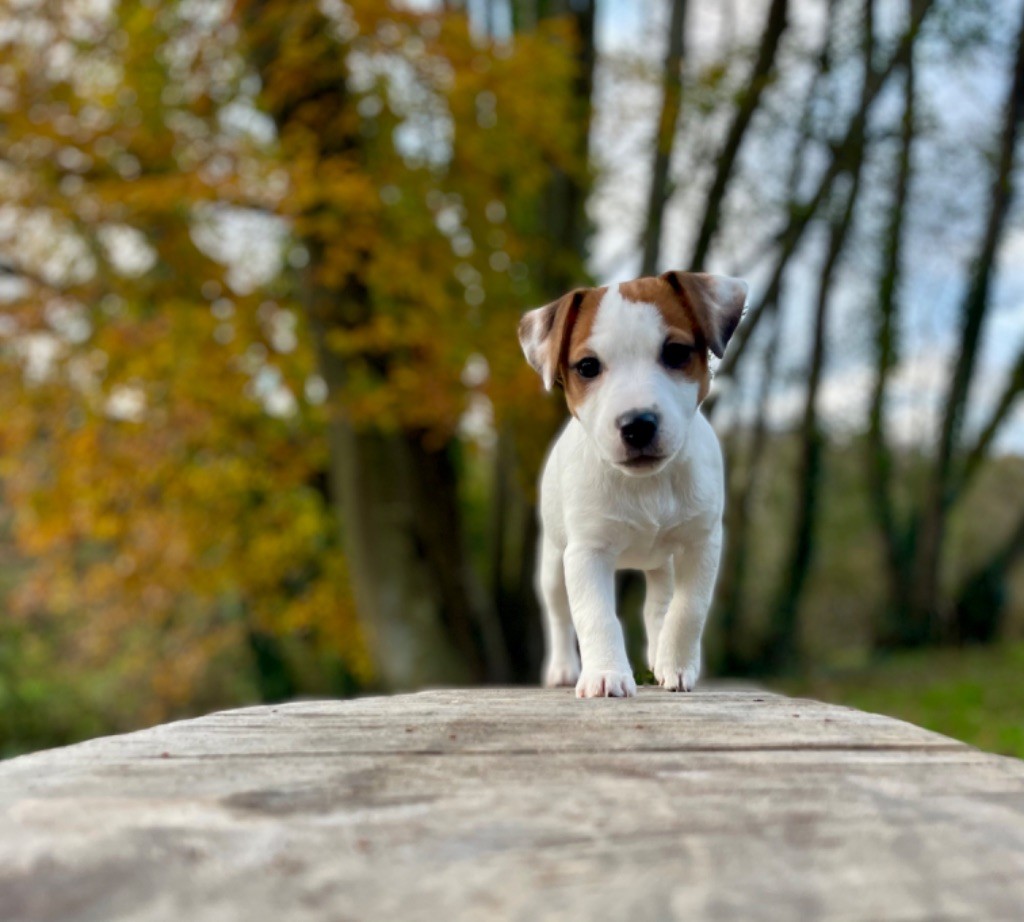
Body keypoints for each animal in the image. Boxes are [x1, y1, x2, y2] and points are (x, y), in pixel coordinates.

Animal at [520, 272, 745, 700]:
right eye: (587, 366)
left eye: (675, 352)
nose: (637, 424)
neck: (647, 485)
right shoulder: (586, 553)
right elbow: (596, 615)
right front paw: (605, 674)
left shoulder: (701, 543)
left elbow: (688, 609)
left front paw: (676, 666)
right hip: (553, 563)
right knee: (558, 614)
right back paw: (562, 668)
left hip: (662, 562)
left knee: (658, 605)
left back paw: (659, 653)